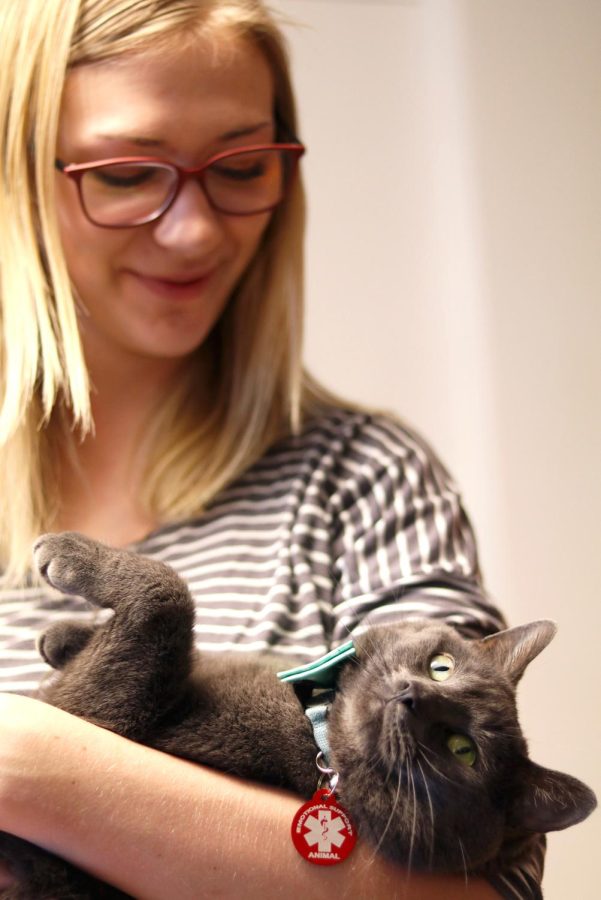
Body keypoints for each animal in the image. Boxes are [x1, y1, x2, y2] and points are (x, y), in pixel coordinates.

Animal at [0, 536, 592, 892]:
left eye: (463, 751)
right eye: (442, 666)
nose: (411, 696)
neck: (315, 725)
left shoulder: (101, 712)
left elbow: (168, 598)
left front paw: (65, 555)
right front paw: (61, 637)